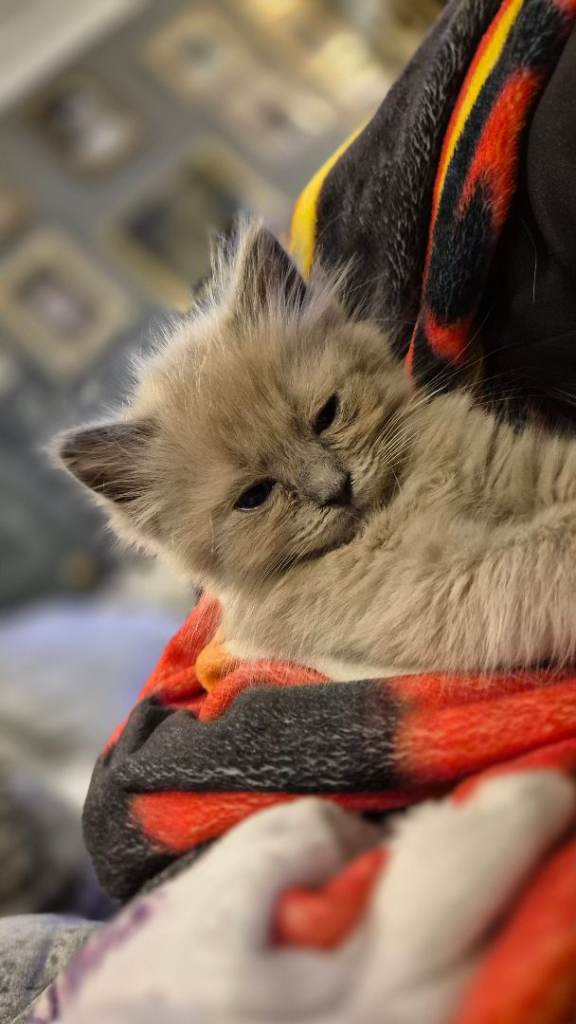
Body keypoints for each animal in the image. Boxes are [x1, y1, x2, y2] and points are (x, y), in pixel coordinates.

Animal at [56, 221, 576, 679]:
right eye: (255, 497)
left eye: (326, 416)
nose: (336, 488)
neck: (409, 502)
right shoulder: (436, 588)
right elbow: (539, 557)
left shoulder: (516, 463)